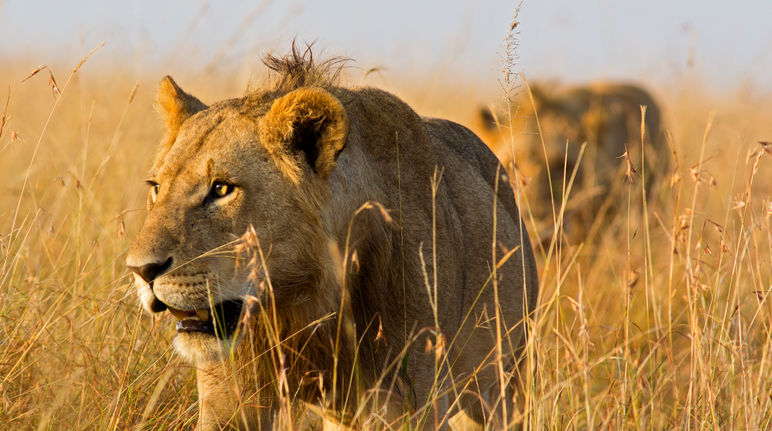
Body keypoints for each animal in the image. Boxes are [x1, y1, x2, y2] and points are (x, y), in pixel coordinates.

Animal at [125, 45, 536, 430]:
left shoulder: (408, 401)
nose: (141, 271)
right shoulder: (231, 393)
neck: (301, 303)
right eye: (156, 188)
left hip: (503, 378)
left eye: (222, 188)